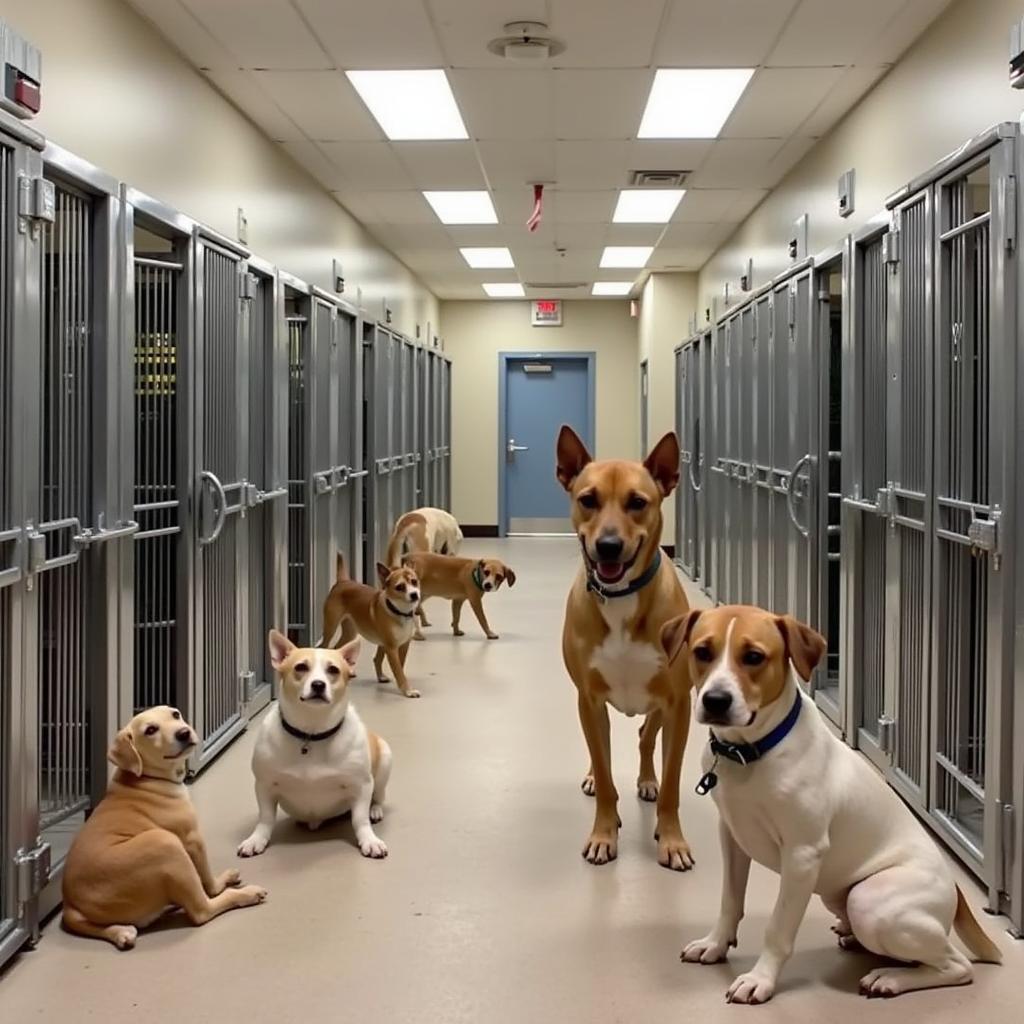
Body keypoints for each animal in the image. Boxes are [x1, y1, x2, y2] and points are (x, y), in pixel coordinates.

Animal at [59, 704, 268, 950]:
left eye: (175, 714)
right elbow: (207, 878)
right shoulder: (192, 839)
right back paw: (245, 893)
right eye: (150, 730)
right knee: (202, 908)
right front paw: (217, 883)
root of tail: (70, 906)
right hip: (165, 842)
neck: (146, 778)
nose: (184, 733)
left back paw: (126, 929)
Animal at [321, 557, 421, 700]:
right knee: (324, 645)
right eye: (400, 587)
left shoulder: (403, 645)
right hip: (330, 628)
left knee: (337, 647)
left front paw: (388, 679)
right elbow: (398, 670)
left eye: (414, 581)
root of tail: (343, 581)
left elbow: (397, 666)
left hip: (350, 633)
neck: (400, 612)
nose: (414, 594)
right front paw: (408, 690)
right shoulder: (391, 648)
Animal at [655, 602, 999, 1003]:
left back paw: (889, 979)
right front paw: (715, 944)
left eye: (753, 657)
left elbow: (778, 928)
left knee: (955, 964)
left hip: (869, 901)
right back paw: (856, 942)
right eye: (702, 652)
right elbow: (730, 902)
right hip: (841, 896)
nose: (715, 700)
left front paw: (760, 979)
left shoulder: (802, 856)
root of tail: (956, 891)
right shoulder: (733, 838)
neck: (749, 753)